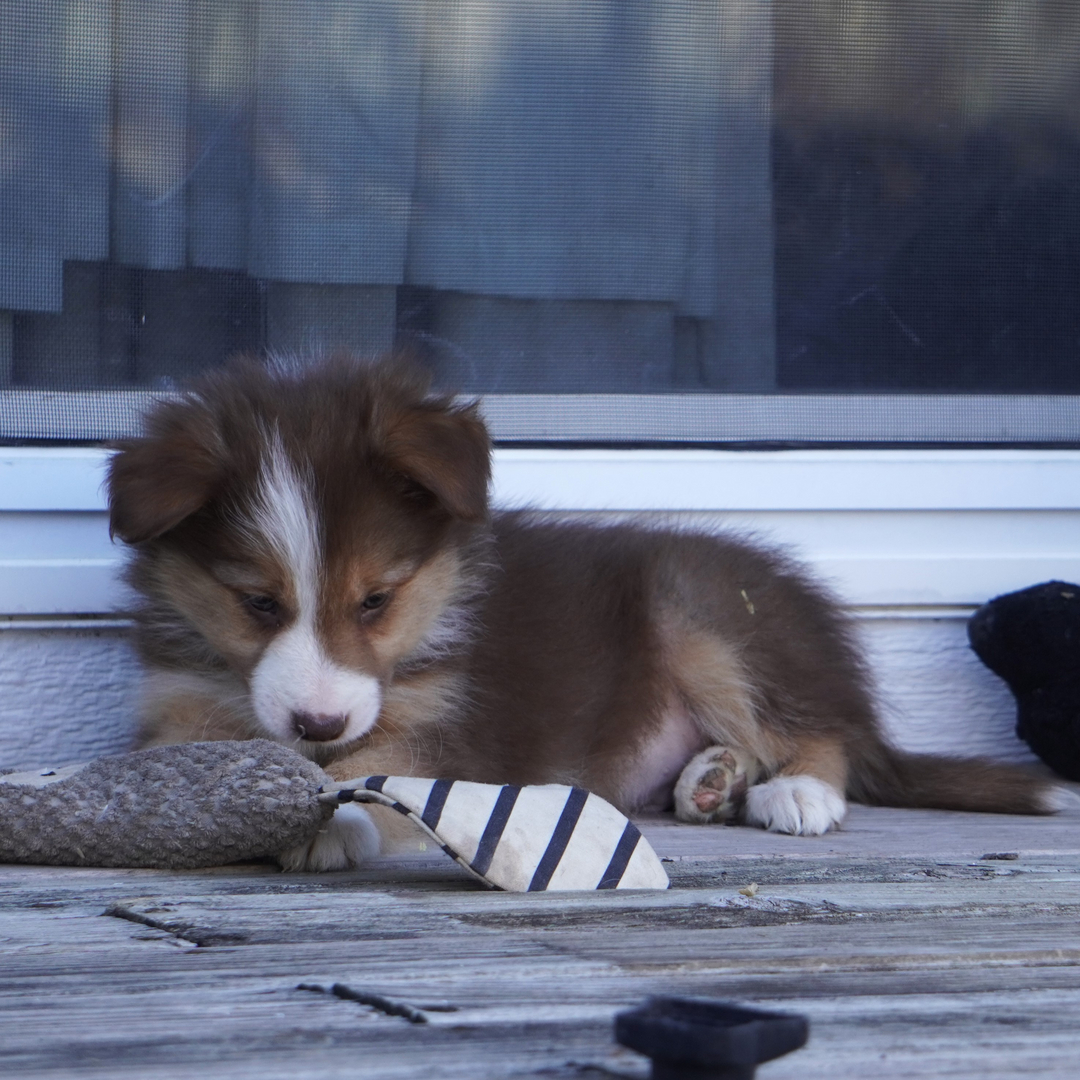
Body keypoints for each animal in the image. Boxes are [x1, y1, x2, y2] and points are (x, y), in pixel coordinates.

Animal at [105, 354, 1067, 868]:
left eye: (376, 600)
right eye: (257, 602)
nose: (316, 724)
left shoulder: (444, 728)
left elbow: (377, 772)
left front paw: (328, 818)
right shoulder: (177, 703)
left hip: (700, 604)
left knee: (817, 732)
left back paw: (792, 791)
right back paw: (710, 779)